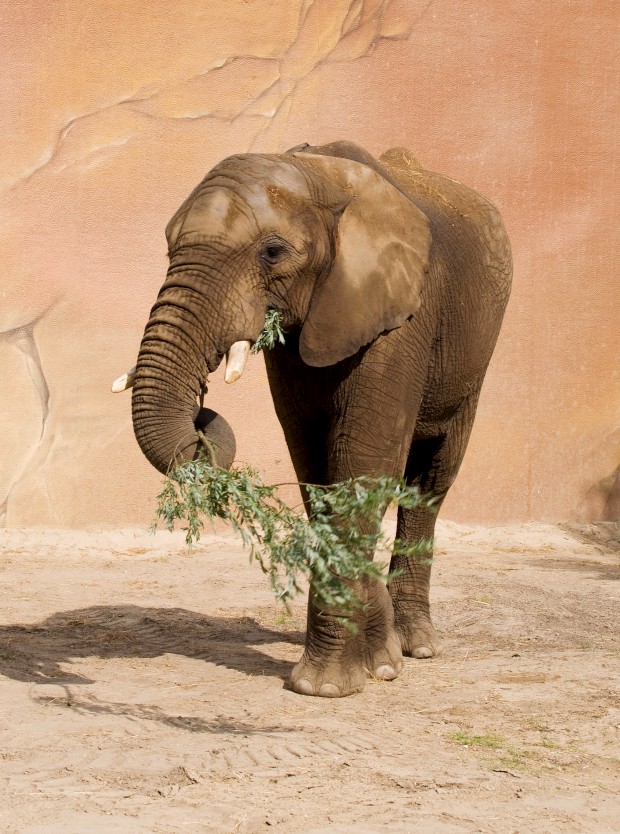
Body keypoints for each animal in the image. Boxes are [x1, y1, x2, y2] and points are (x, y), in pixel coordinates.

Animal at [124, 140, 512, 698]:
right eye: (168, 247)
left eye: (272, 252)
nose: (201, 415)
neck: (318, 176)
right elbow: (314, 465)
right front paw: (374, 661)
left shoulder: (400, 313)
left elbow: (360, 458)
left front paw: (326, 686)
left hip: (475, 355)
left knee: (431, 481)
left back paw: (418, 645)